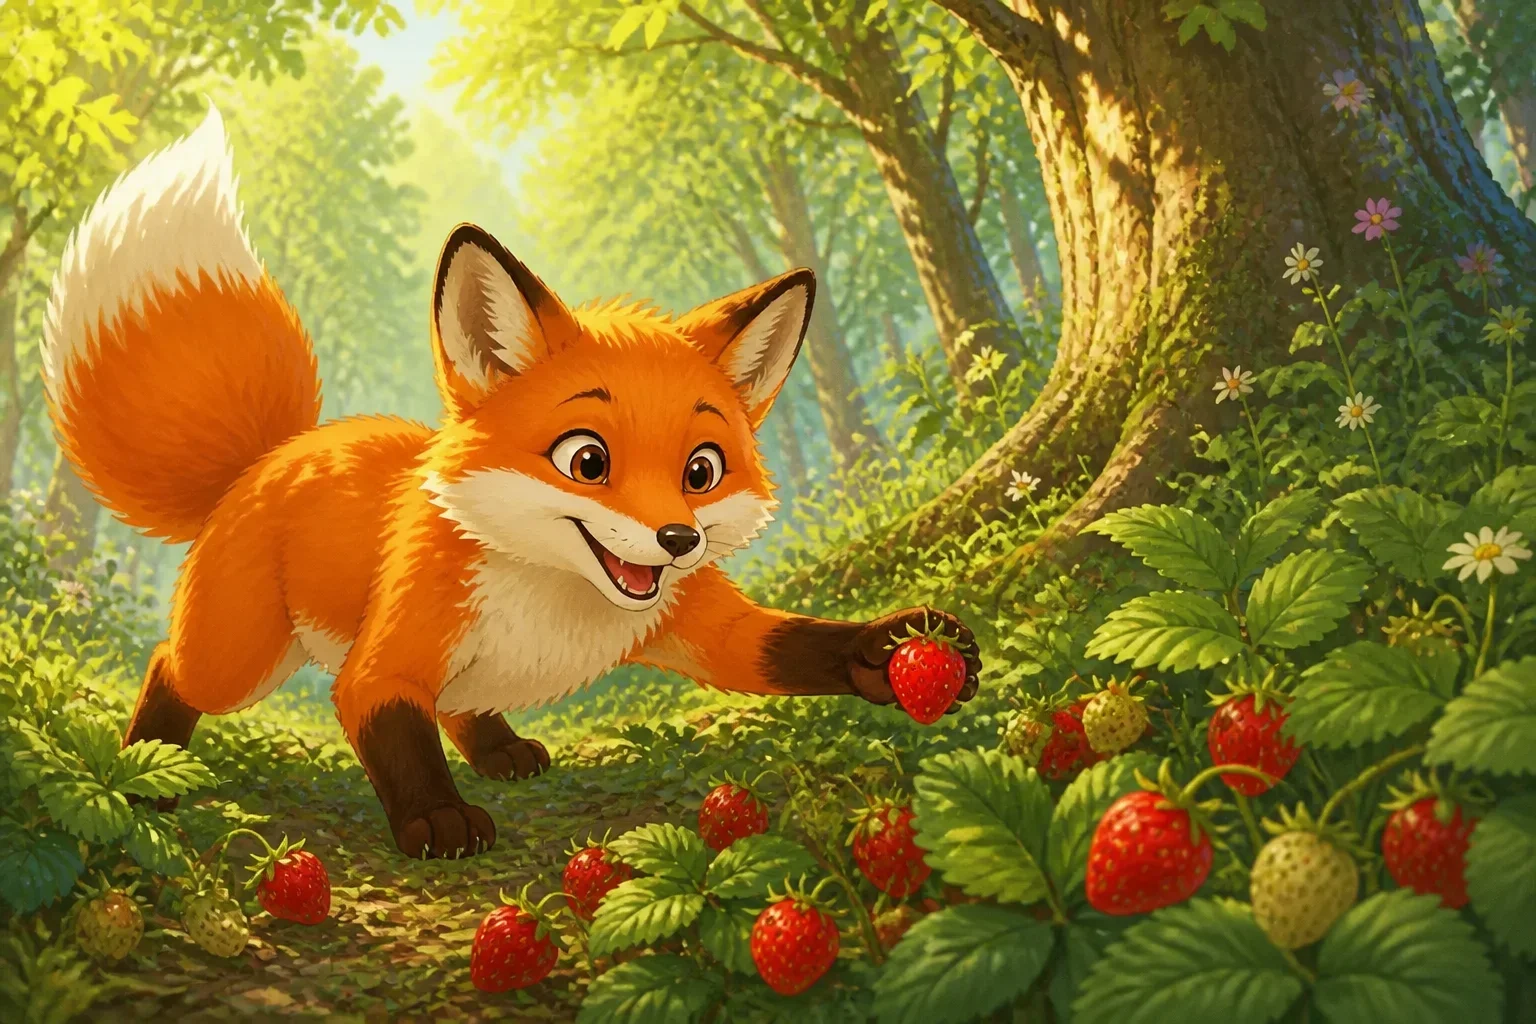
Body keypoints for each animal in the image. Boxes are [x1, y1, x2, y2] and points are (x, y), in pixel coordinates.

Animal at [40, 107, 982, 859]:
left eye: (701, 471)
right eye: (587, 461)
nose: (680, 538)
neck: (553, 602)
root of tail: (272, 452)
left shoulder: (695, 619)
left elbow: (789, 645)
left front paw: (893, 648)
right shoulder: (388, 658)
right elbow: (391, 726)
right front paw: (436, 820)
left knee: (460, 707)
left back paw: (498, 750)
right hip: (242, 657)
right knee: (172, 668)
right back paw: (148, 765)